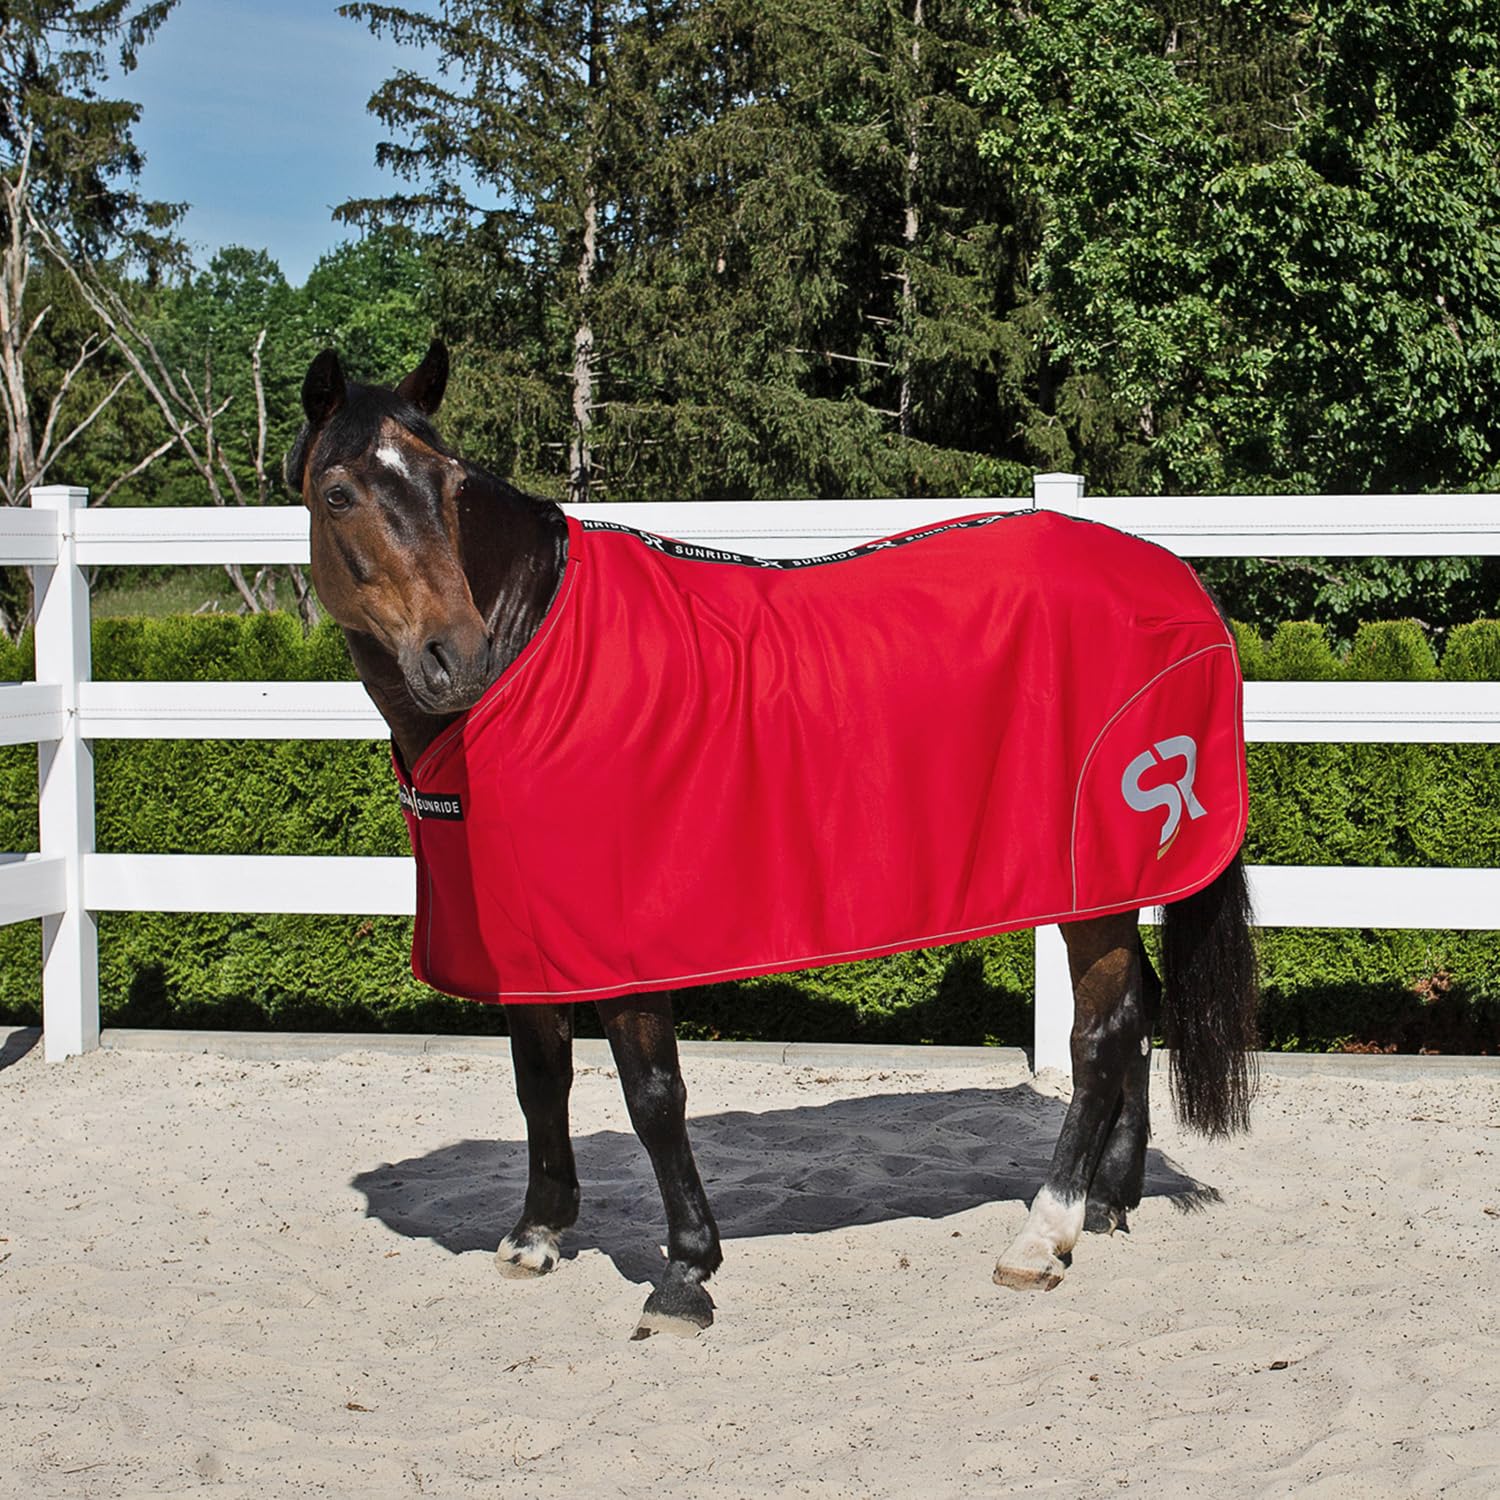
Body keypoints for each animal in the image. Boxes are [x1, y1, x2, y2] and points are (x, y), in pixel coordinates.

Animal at [286, 340, 1260, 1339]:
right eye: (338, 493)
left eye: (449, 484)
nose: (456, 657)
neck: (537, 654)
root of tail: (1176, 579)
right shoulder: (531, 938)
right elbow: (539, 1076)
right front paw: (537, 1234)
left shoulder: (623, 941)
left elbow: (652, 1095)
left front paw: (684, 1271)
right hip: (1110, 884)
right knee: (1138, 1014)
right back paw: (1108, 1203)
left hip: (1090, 878)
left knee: (1101, 1035)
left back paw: (1043, 1233)